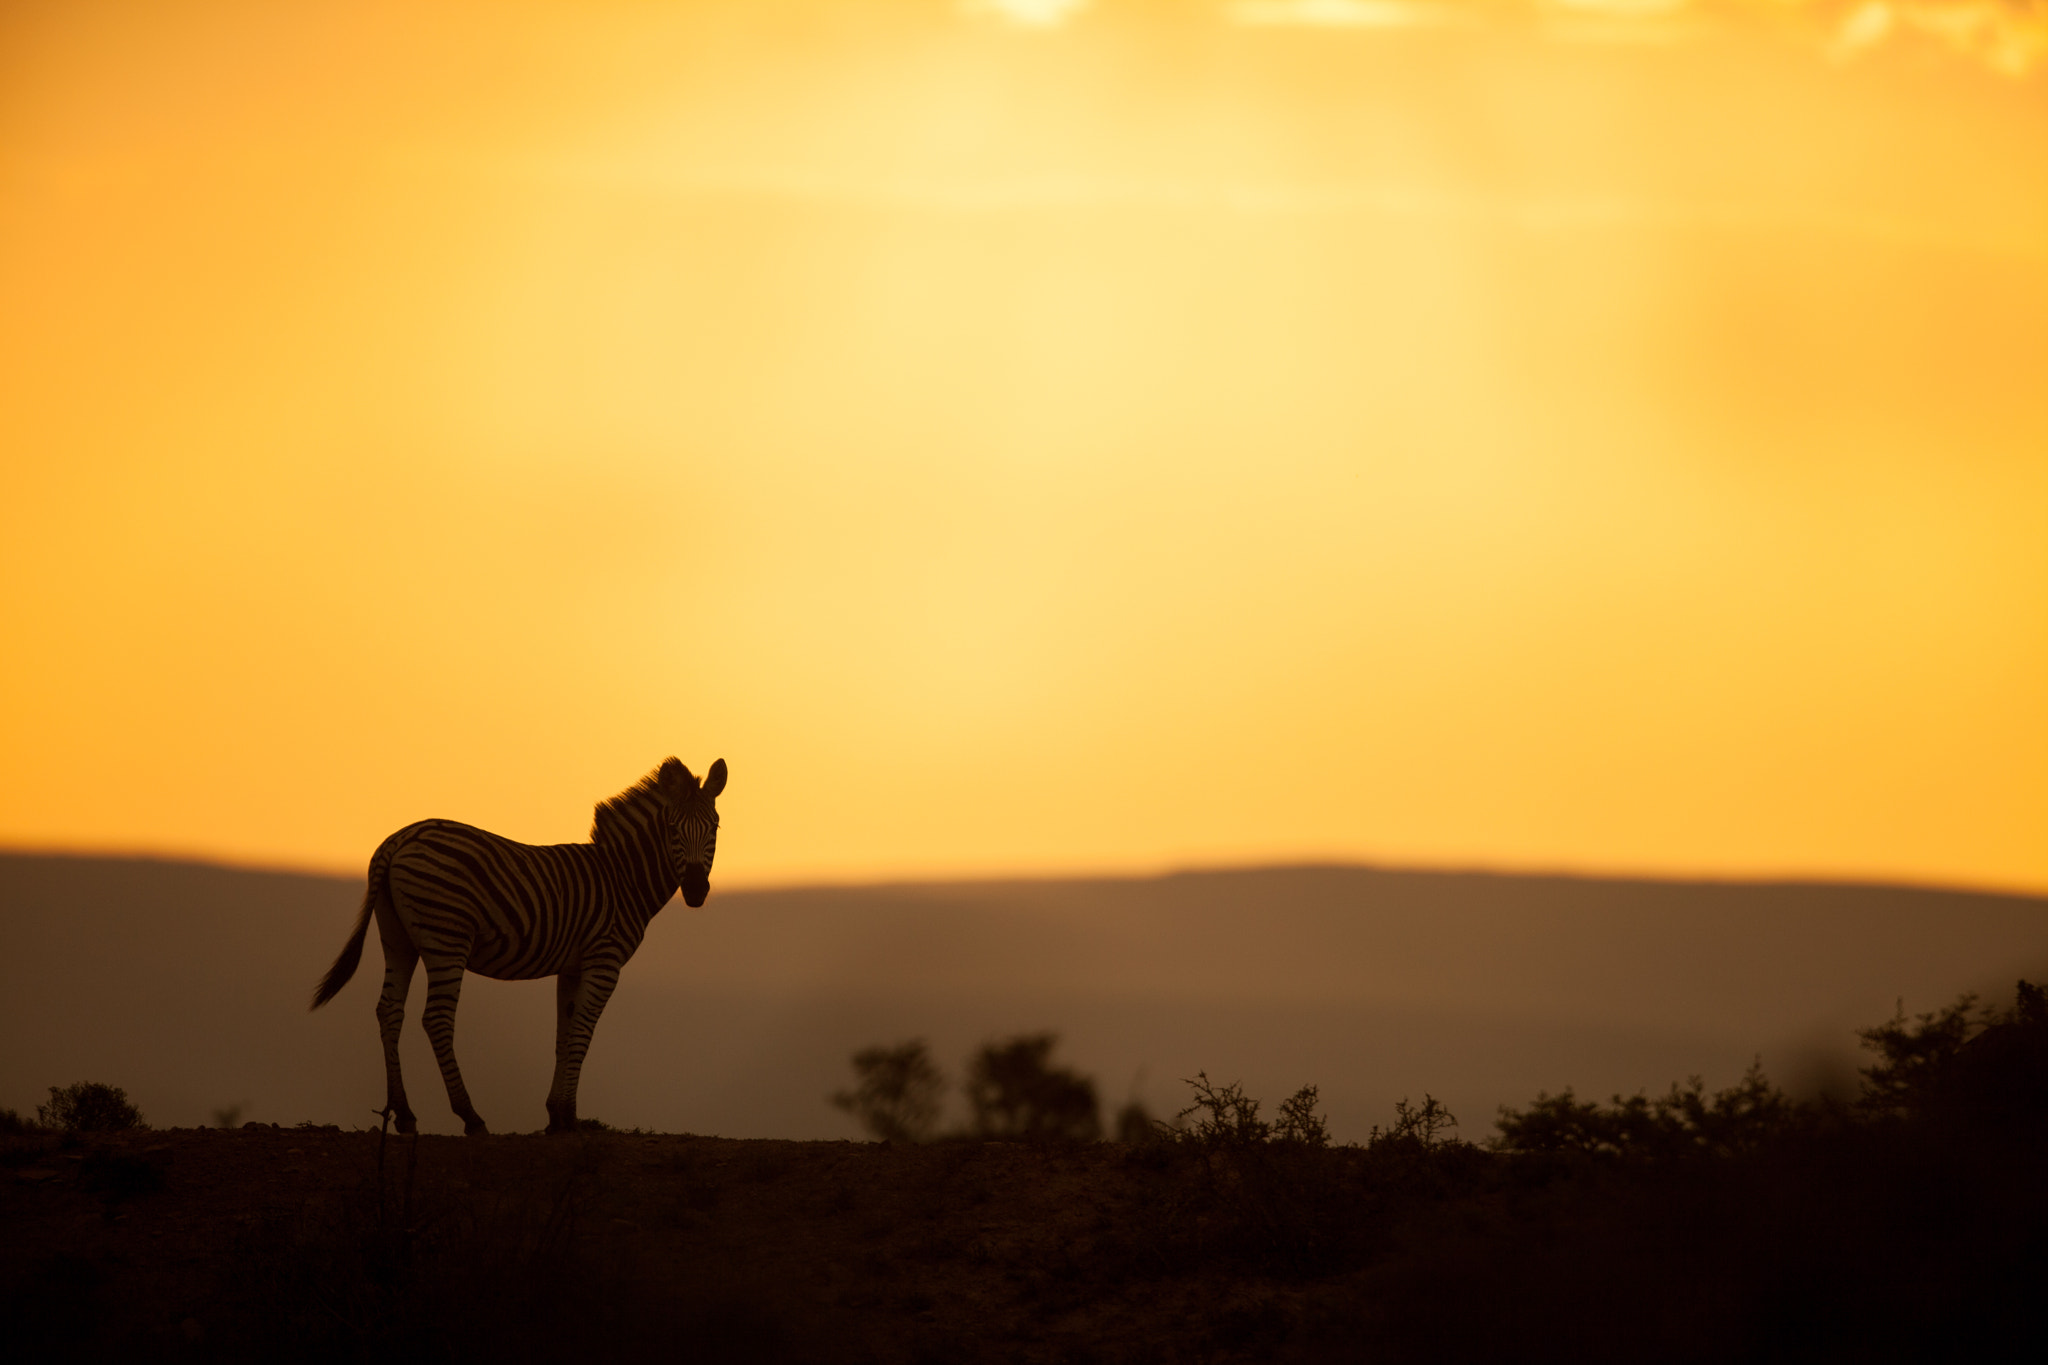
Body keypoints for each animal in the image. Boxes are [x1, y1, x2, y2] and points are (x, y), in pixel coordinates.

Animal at [311, 757, 729, 1129]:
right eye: (673, 828)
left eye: (715, 827)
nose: (695, 890)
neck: (622, 879)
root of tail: (398, 840)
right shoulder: (604, 960)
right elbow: (582, 1033)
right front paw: (568, 1118)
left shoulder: (572, 967)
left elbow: (564, 1035)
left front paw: (557, 1114)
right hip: (447, 936)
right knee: (437, 1018)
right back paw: (470, 1116)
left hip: (397, 937)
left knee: (389, 1011)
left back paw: (405, 1114)